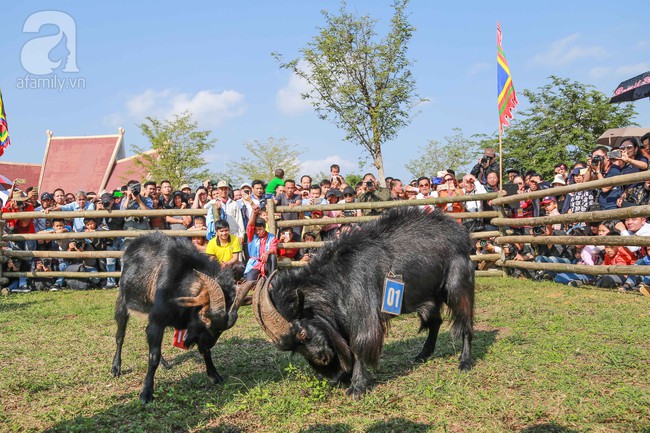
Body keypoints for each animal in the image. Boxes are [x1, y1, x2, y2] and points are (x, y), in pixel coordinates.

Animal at [111, 231, 253, 404]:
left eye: (222, 330)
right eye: (204, 316)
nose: (191, 343)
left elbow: (203, 352)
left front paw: (214, 375)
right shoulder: (157, 320)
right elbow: (153, 356)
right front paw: (146, 393)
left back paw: (165, 363)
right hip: (122, 301)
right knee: (120, 336)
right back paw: (116, 367)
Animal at [252, 206, 470, 398]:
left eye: (303, 333)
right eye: (293, 349)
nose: (322, 359)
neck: (337, 277)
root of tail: (459, 233)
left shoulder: (363, 314)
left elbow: (359, 346)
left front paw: (357, 387)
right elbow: (347, 346)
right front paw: (342, 378)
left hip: (457, 284)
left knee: (465, 322)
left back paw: (465, 362)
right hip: (429, 295)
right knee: (435, 321)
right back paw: (422, 355)